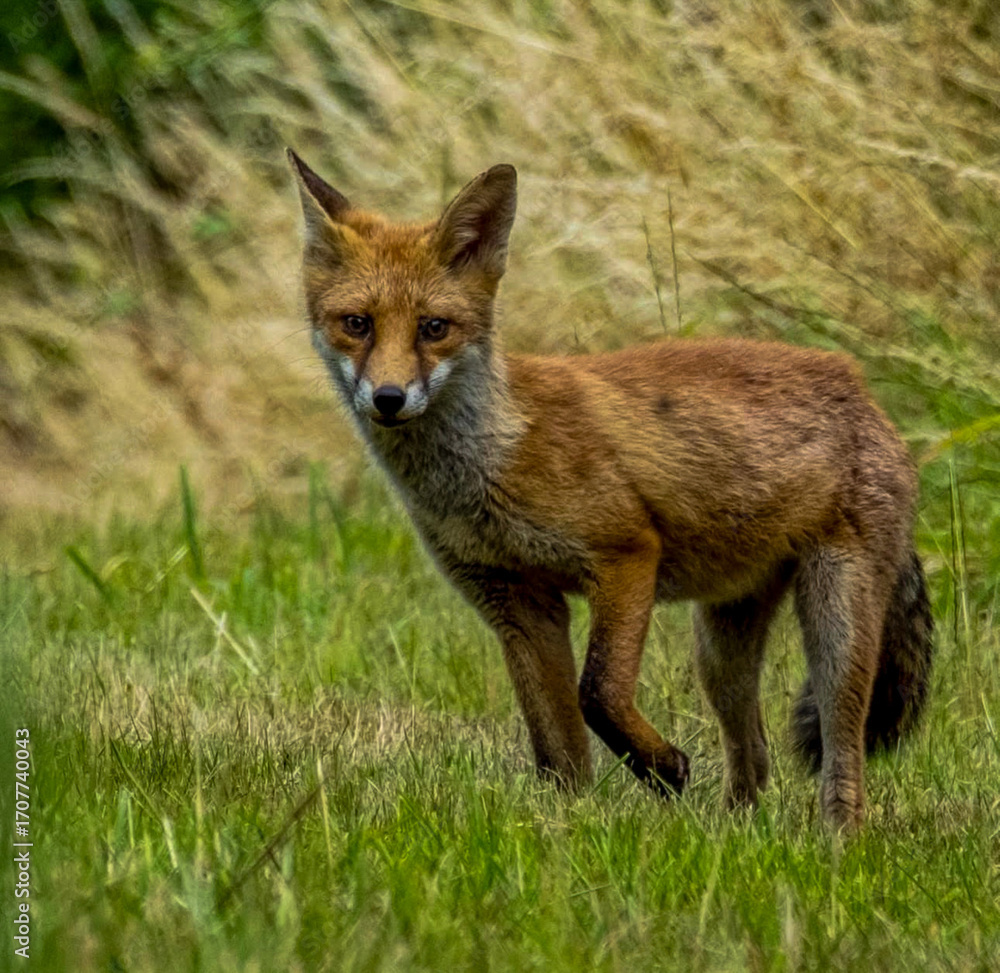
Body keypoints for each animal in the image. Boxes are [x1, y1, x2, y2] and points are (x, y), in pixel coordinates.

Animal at [287, 150, 934, 828]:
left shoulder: (625, 557)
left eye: (434, 327)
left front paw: (663, 768)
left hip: (837, 622)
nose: (388, 398)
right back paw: (734, 831)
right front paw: (564, 827)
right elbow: (556, 746)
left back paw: (837, 838)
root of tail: (860, 387)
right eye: (357, 324)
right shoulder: (516, 602)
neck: (494, 461)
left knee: (843, 752)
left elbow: (596, 693)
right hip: (721, 645)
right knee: (752, 753)